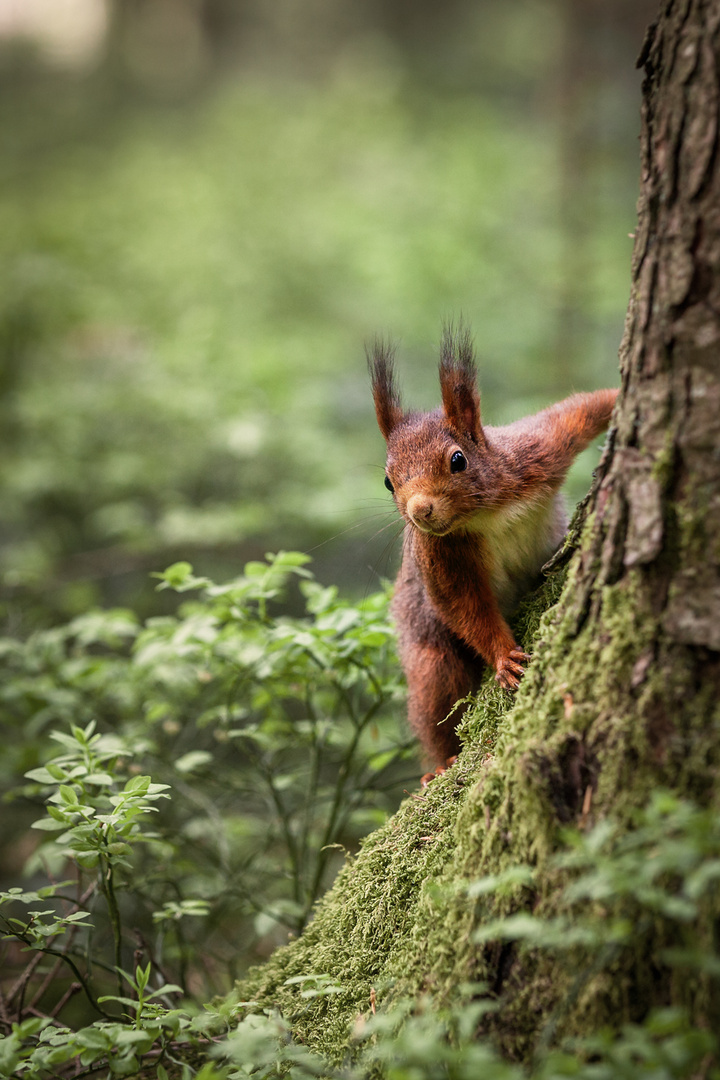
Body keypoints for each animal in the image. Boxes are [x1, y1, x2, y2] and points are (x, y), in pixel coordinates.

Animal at [371, 324, 621, 773]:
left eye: (458, 460)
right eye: (387, 481)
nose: (420, 511)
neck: (485, 513)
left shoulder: (537, 451)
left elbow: (582, 409)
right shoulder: (438, 553)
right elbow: (463, 605)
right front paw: (504, 657)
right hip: (430, 655)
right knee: (437, 701)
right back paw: (438, 767)